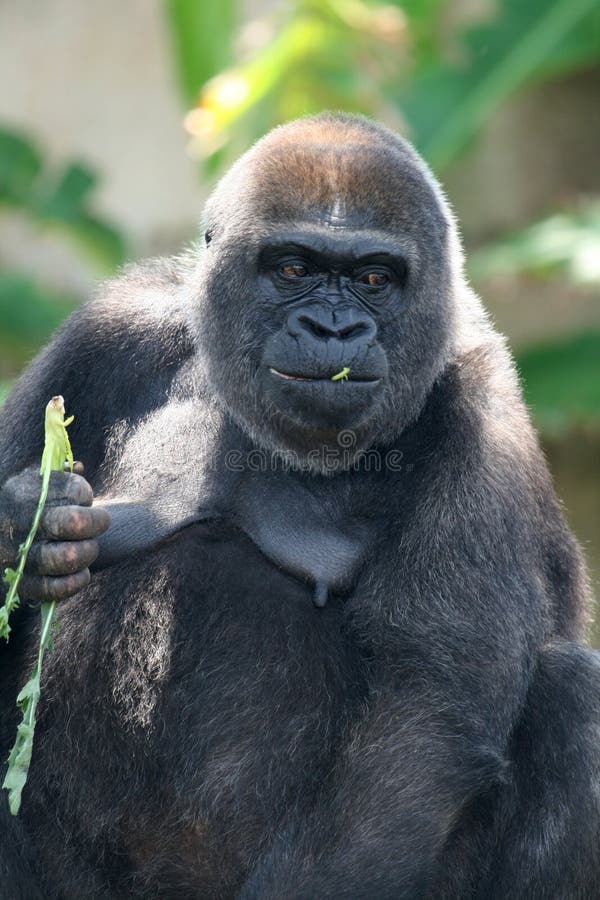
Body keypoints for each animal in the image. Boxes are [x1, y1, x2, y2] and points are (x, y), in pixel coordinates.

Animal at [1, 114, 600, 900]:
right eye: (293, 269)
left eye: (375, 279)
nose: (333, 331)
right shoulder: (104, 331)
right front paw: (29, 531)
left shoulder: (486, 417)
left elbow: (424, 720)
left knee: (573, 695)